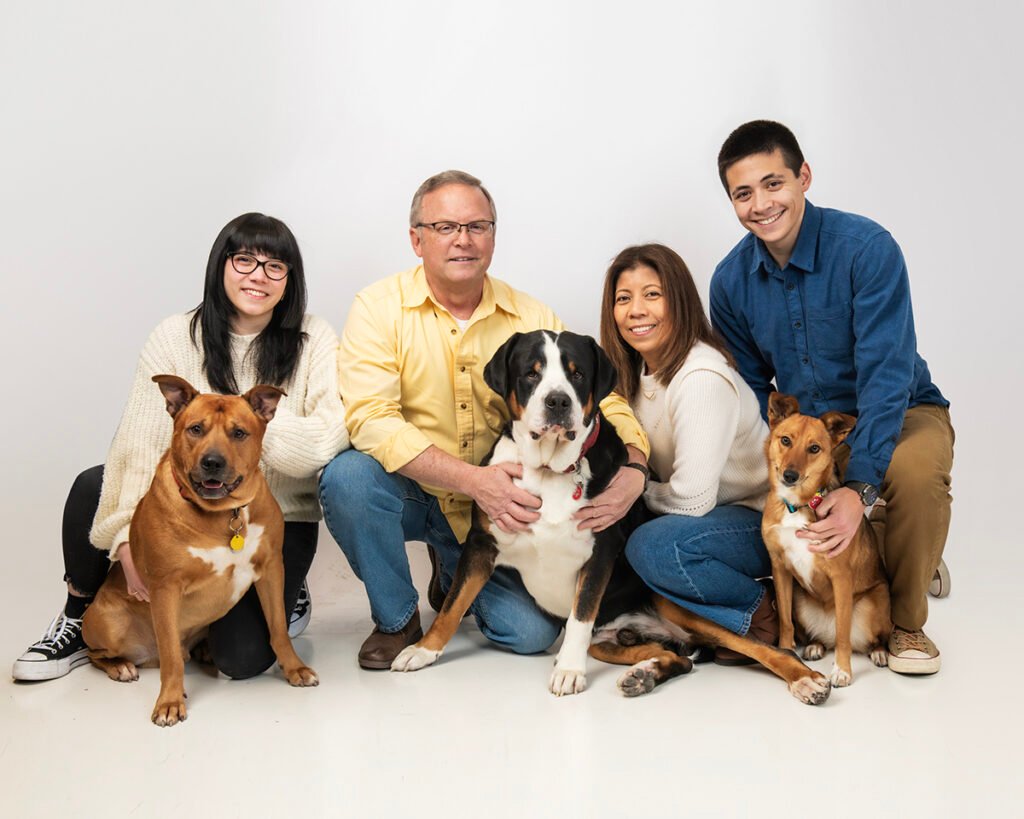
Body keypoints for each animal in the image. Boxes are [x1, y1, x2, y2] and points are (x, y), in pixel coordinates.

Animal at [82, 374, 317, 724]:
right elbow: (170, 656)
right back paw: (121, 666)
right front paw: (169, 701)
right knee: (98, 653)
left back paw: (203, 651)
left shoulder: (272, 569)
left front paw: (295, 668)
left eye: (238, 433)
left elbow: (278, 628)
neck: (224, 515)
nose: (212, 462)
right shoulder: (165, 588)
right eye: (195, 429)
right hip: (109, 619)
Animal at [391, 331, 831, 704]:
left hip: (672, 605)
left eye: (577, 373)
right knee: (679, 659)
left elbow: (580, 612)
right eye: (531, 373)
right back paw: (645, 673)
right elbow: (453, 603)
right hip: (609, 640)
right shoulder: (481, 544)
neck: (550, 470)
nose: (558, 401)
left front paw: (569, 671)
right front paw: (422, 650)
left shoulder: (601, 550)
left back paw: (806, 679)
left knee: (761, 648)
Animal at [765, 393, 892, 687]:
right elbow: (785, 620)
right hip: (800, 597)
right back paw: (815, 645)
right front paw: (786, 652)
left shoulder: (841, 577)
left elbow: (843, 631)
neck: (797, 506)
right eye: (785, 440)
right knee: (823, 635)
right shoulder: (779, 569)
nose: (790, 475)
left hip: (877, 598)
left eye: (814, 448)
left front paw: (842, 671)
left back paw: (879, 652)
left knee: (868, 637)